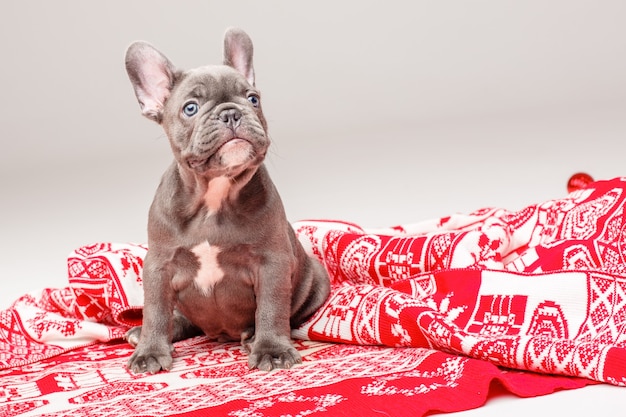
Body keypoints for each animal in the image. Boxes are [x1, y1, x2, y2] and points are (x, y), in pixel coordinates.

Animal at [124, 27, 334, 372]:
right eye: (190, 108)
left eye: (253, 98)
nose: (231, 112)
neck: (214, 196)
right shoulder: (158, 265)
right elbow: (155, 310)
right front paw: (150, 351)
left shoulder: (271, 263)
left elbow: (271, 307)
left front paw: (271, 348)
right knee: (178, 317)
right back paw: (146, 332)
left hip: (316, 278)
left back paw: (251, 334)